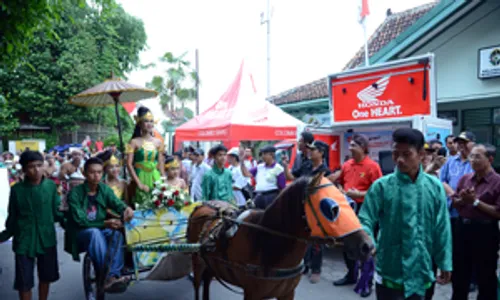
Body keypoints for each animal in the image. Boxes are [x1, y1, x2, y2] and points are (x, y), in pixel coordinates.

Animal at [186, 173, 374, 300]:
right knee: (197, 284)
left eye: (351, 204)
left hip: (210, 264)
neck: (266, 243)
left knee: (207, 281)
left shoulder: (288, 293)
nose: (368, 246)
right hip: (197, 261)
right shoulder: (252, 293)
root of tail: (200, 206)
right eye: (332, 209)